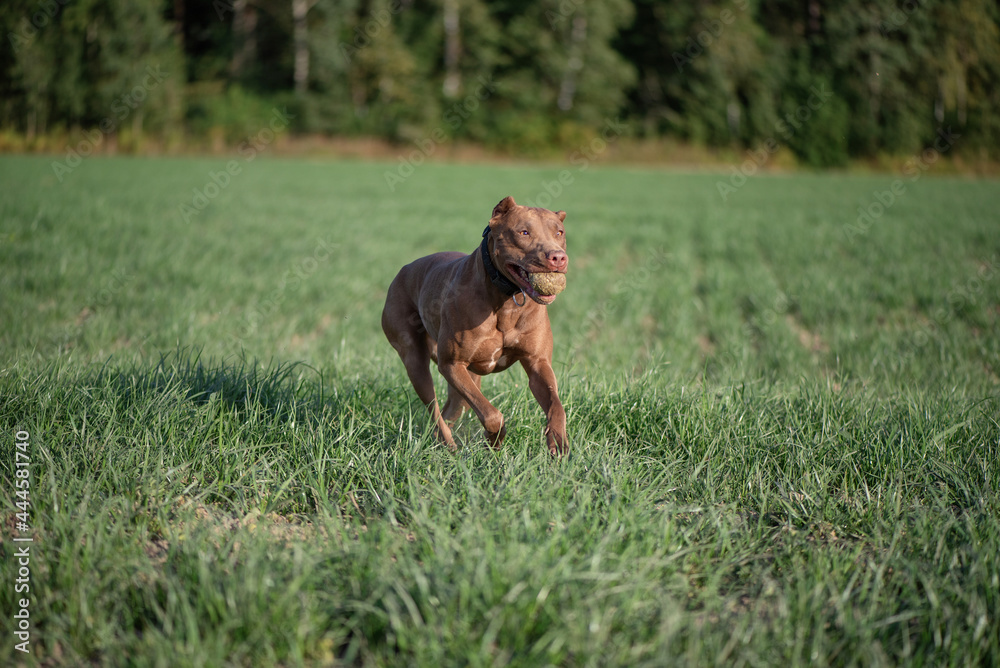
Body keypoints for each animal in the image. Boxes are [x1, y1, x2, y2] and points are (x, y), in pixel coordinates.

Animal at [382, 193, 572, 454]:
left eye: (559, 233)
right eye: (523, 232)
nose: (558, 257)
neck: (506, 299)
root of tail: (404, 270)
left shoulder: (538, 364)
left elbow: (556, 406)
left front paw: (558, 442)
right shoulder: (453, 364)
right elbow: (492, 415)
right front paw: (495, 440)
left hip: (464, 381)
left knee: (451, 409)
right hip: (416, 360)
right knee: (435, 411)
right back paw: (450, 448)